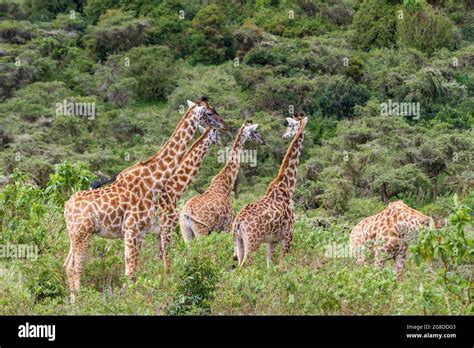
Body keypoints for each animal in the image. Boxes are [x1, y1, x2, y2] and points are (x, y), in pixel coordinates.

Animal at [232, 113, 308, 268]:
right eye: (290, 125)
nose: (284, 136)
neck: (286, 187)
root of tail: (238, 222)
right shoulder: (288, 236)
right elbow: (281, 265)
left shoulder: (270, 241)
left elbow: (269, 266)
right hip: (253, 242)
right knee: (244, 266)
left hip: (238, 241)